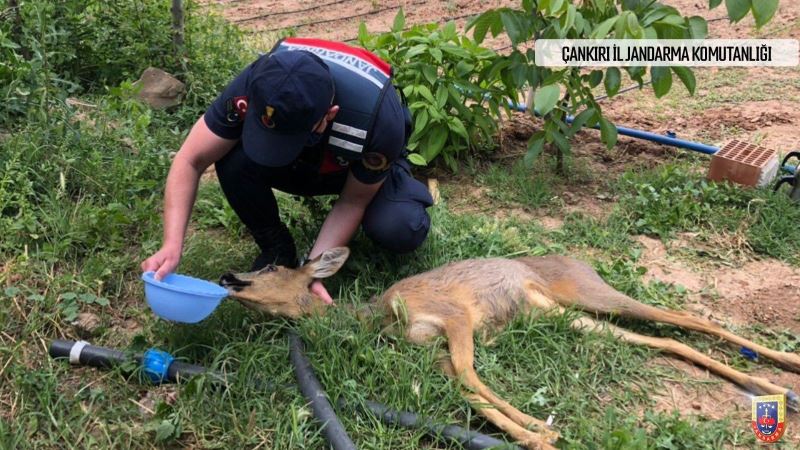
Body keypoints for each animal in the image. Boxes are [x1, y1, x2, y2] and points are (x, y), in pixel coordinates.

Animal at [219, 248, 800, 448]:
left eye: (272, 266)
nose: (227, 278)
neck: (378, 315)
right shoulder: (432, 351)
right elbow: (468, 390)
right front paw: (535, 432)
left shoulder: (454, 315)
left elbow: (472, 377)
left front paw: (540, 429)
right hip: (569, 316)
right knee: (660, 339)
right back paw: (771, 388)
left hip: (588, 293)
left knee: (686, 317)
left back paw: (783, 370)